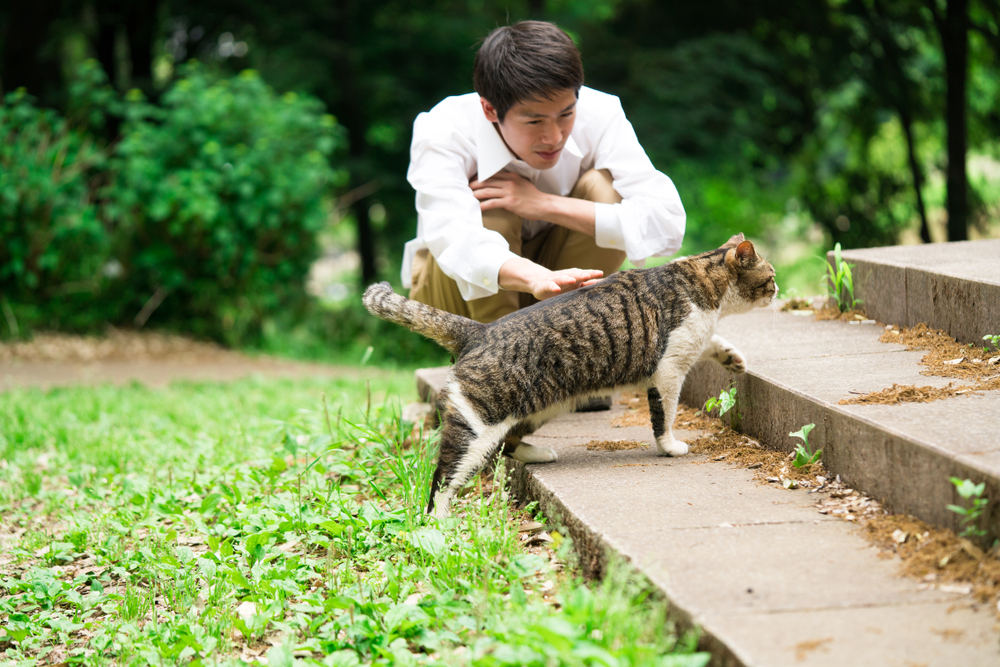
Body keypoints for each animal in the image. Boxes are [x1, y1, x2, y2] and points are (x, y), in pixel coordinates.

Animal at [364, 235, 776, 516]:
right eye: (770, 276)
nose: (777, 291)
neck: (700, 278)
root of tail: (480, 330)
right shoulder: (668, 371)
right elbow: (666, 417)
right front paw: (670, 447)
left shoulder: (691, 345)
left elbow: (713, 342)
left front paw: (732, 358)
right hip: (478, 424)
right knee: (445, 476)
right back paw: (439, 522)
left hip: (538, 408)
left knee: (510, 443)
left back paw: (540, 453)